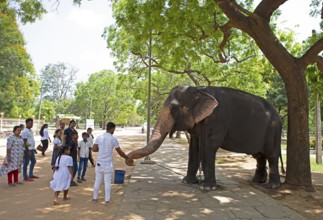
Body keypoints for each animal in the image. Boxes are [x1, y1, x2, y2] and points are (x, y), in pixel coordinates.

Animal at [128, 86, 284, 191]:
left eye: (174, 109)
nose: (129, 160)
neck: (200, 90)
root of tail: (278, 114)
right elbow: (194, 147)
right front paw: (187, 182)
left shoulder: (217, 119)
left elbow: (209, 146)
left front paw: (207, 188)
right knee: (259, 155)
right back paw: (257, 181)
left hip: (273, 129)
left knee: (271, 154)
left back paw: (272, 186)